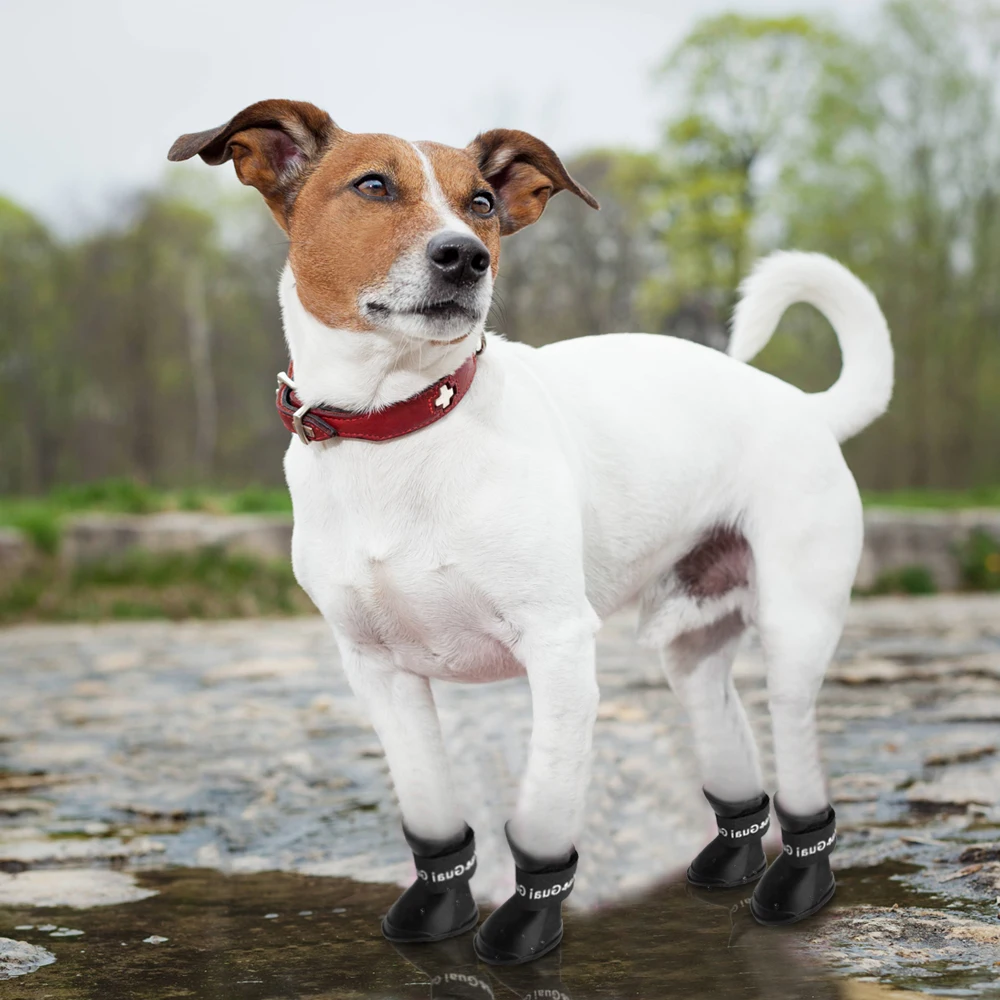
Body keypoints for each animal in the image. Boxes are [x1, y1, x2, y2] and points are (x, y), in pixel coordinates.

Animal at [168, 99, 896, 960]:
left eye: (482, 201)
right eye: (373, 185)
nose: (464, 256)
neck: (402, 426)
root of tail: (805, 407)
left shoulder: (557, 647)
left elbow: (543, 811)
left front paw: (527, 922)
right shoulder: (377, 672)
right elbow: (431, 814)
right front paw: (436, 909)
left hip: (794, 631)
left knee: (797, 755)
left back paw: (799, 883)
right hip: (689, 648)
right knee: (729, 745)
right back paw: (731, 858)